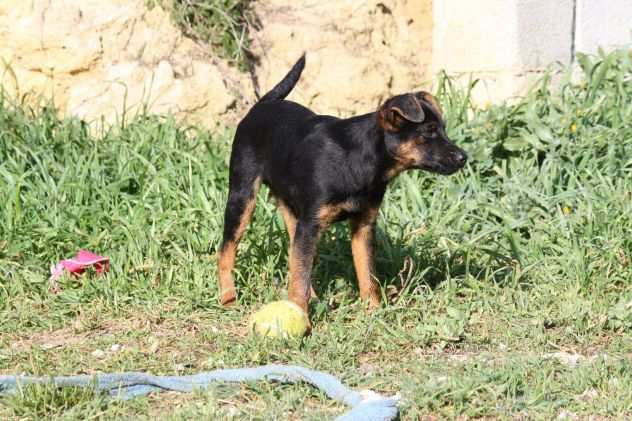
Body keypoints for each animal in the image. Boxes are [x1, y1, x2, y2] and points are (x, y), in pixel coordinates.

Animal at [217, 55, 464, 324]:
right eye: (428, 133)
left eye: (443, 129)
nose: (464, 158)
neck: (360, 159)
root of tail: (264, 104)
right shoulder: (311, 225)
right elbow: (301, 275)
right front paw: (302, 318)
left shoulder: (363, 225)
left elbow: (366, 272)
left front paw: (373, 311)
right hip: (242, 197)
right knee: (226, 250)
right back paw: (228, 299)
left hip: (293, 211)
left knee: (296, 258)